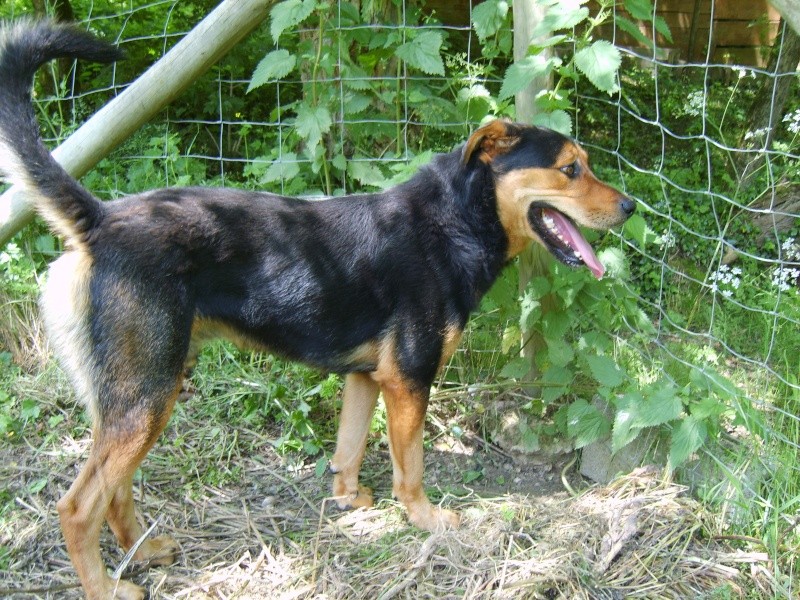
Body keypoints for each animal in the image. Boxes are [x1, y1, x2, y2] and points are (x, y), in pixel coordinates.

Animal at [0, 19, 636, 600]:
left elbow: (348, 451)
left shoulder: (366, 378)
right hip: (145, 397)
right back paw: (107, 587)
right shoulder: (409, 379)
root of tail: (101, 222)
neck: (454, 220)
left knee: (116, 490)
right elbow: (411, 467)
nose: (630, 206)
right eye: (570, 169)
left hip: (137, 395)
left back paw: (143, 551)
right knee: (78, 505)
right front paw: (427, 520)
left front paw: (349, 501)